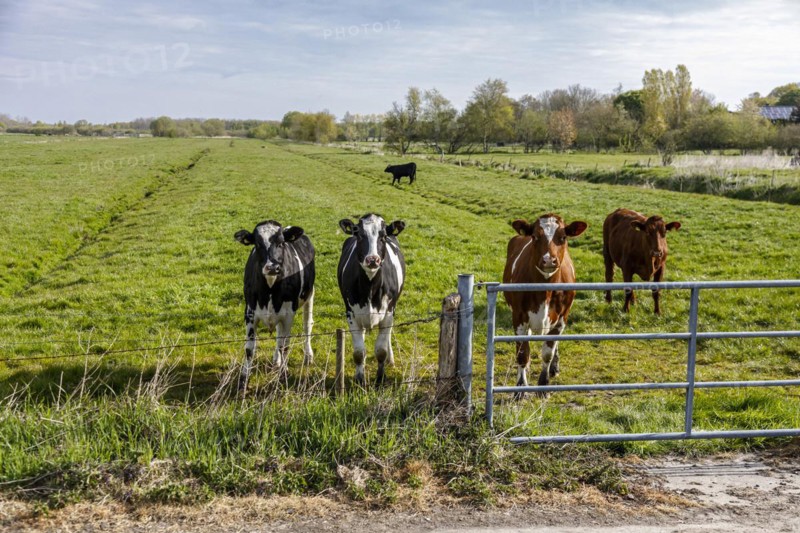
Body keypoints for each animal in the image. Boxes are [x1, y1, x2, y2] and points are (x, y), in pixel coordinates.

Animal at [233, 220, 315, 392]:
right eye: (257, 244)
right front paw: (243, 381)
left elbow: (285, 346)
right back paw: (276, 361)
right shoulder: (250, 312)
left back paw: (308, 356)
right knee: (278, 334)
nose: (272, 267)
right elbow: (249, 349)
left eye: (281, 242)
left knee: (306, 326)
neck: (270, 289)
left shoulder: (289, 314)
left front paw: (283, 376)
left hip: (310, 295)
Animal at [337, 213, 406, 386]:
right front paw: (359, 380)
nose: (373, 260)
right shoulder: (351, 314)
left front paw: (380, 379)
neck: (370, 287)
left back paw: (390, 359)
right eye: (360, 235)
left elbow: (381, 350)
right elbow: (359, 352)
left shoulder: (388, 313)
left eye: (383, 236)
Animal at [502, 214, 588, 397]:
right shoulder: (518, 316)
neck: (545, 290)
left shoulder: (562, 318)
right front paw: (520, 387)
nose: (549, 260)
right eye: (535, 236)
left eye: (563, 237)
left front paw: (543, 384)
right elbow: (522, 353)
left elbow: (548, 352)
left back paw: (554, 367)